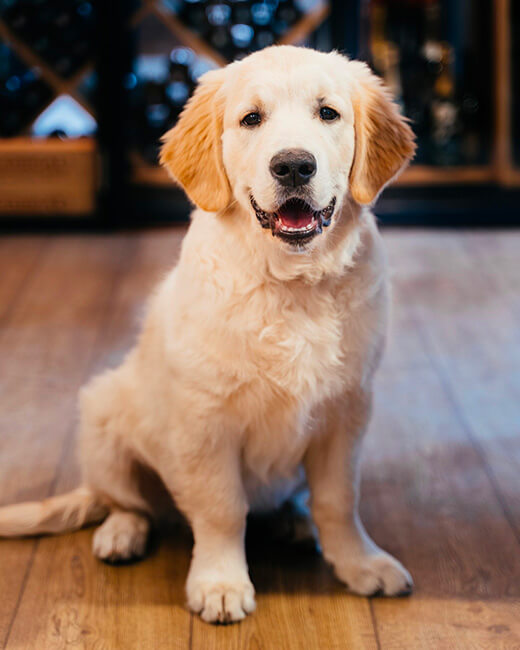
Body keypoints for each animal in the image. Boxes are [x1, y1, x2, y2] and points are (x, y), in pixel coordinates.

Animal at [0, 45, 414, 624]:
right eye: (251, 119)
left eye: (328, 113)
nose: (293, 165)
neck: (290, 284)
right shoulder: (204, 420)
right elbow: (222, 508)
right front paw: (220, 583)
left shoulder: (347, 411)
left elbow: (338, 499)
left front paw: (360, 563)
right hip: (103, 412)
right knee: (127, 501)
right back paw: (122, 533)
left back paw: (293, 520)